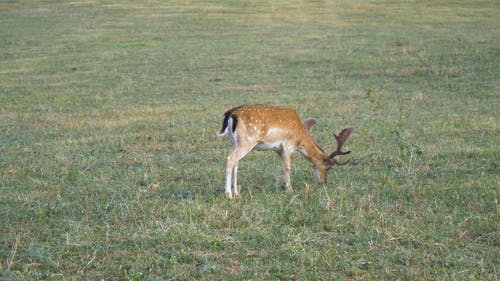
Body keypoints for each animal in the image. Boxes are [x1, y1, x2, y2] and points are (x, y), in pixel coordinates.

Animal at [217, 104, 354, 198]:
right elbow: (287, 167)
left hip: (235, 142)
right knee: (230, 159)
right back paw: (228, 194)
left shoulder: (278, 150)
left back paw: (236, 192)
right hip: (246, 142)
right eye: (329, 167)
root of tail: (229, 114)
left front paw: (285, 186)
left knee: (236, 163)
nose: (324, 183)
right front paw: (289, 189)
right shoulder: (288, 145)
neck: (300, 138)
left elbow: (283, 166)